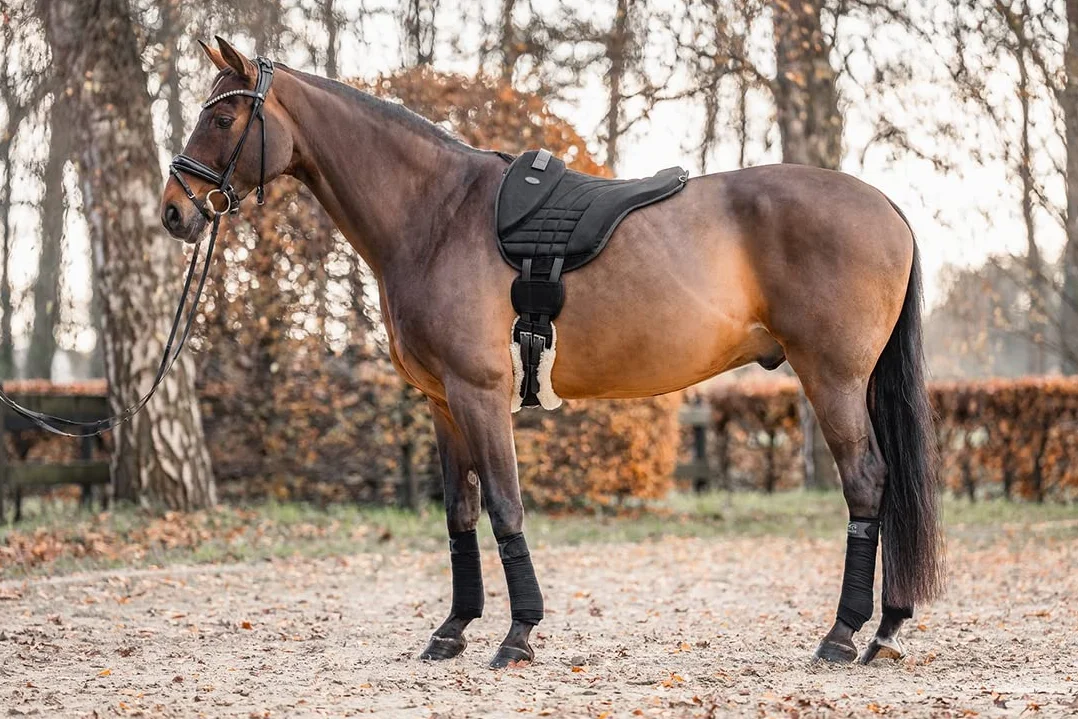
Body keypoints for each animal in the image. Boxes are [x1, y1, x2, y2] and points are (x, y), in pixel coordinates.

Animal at [160, 37, 943, 669]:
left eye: (223, 117)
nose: (174, 210)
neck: (436, 215)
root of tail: (887, 206)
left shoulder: (479, 393)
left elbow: (505, 505)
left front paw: (518, 634)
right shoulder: (442, 402)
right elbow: (460, 513)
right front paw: (452, 630)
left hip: (833, 379)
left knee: (867, 484)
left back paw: (842, 634)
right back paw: (885, 628)